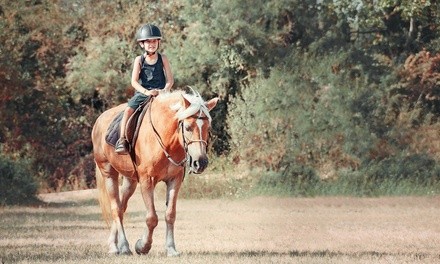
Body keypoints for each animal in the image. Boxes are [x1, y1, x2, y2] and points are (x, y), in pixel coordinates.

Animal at [91, 91, 218, 256]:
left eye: (208, 128)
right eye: (188, 127)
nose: (200, 162)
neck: (167, 141)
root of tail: (99, 120)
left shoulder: (174, 180)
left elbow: (170, 215)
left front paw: (171, 248)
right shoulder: (147, 180)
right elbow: (152, 218)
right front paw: (143, 246)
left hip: (130, 180)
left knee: (122, 207)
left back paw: (115, 244)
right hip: (108, 173)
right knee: (116, 209)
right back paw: (120, 247)